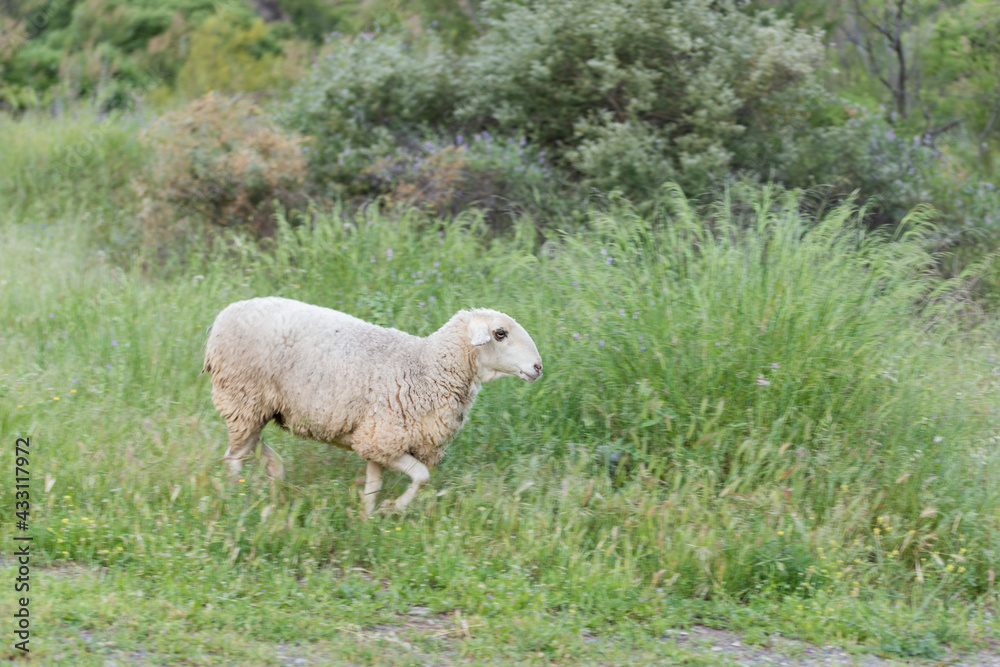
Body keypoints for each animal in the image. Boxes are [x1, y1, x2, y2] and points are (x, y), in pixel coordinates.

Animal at [203, 297, 543, 515]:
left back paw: (272, 478)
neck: (425, 367)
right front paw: (392, 509)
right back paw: (238, 497)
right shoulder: (384, 438)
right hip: (242, 394)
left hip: (259, 406)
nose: (538, 367)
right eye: (500, 334)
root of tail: (222, 317)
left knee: (248, 445)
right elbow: (422, 476)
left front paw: (367, 519)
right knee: (235, 456)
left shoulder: (378, 438)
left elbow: (374, 484)